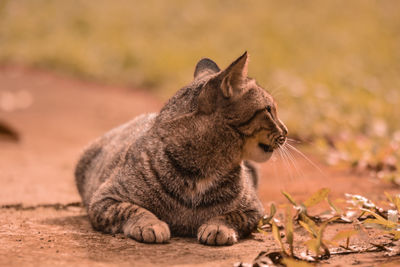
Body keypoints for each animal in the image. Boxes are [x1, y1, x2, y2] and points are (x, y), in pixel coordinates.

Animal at [75, 52, 288, 247]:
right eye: (269, 110)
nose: (286, 131)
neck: (202, 169)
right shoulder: (104, 199)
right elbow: (132, 209)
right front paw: (150, 224)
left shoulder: (253, 209)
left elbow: (231, 216)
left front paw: (218, 227)